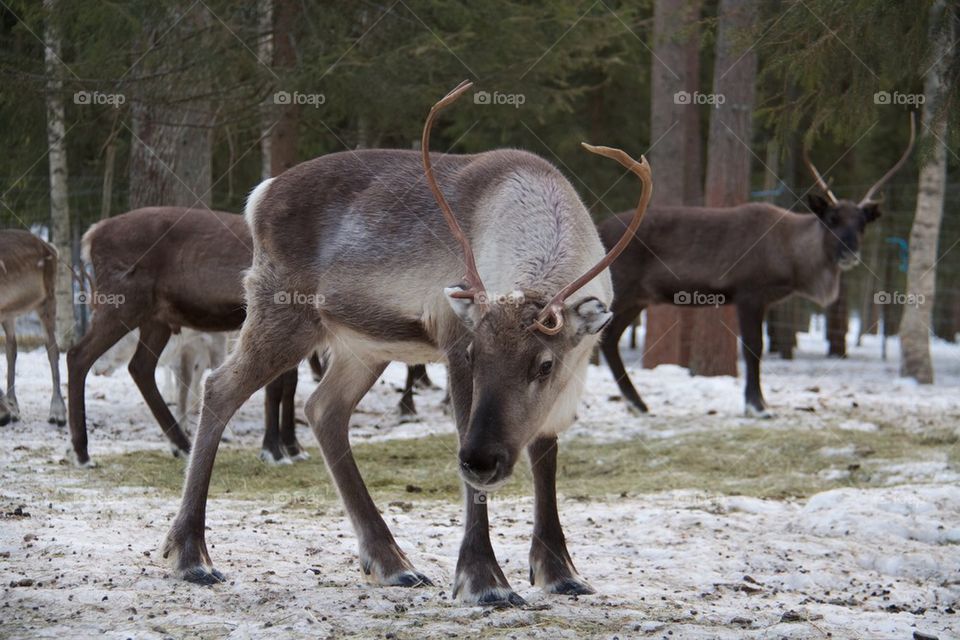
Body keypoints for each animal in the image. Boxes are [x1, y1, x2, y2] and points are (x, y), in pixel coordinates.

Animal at [0, 230, 66, 427]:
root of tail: (51, 246)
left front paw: (4, 412)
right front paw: (6, 411)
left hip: (47, 299)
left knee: (52, 348)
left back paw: (57, 413)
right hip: (9, 313)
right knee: (12, 347)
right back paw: (13, 407)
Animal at [67, 208, 306, 467]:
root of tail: (91, 235)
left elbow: (289, 384)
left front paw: (293, 448)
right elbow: (275, 386)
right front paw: (273, 451)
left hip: (157, 317)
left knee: (140, 367)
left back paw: (181, 444)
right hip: (123, 302)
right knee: (78, 355)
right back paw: (81, 452)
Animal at [161, 80, 652, 606]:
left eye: (544, 365)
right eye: (476, 354)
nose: (483, 460)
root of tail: (260, 195)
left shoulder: (573, 369)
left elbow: (546, 458)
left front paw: (558, 570)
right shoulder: (453, 343)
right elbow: (471, 448)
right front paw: (484, 581)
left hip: (362, 347)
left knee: (323, 409)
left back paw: (393, 563)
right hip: (282, 313)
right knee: (220, 388)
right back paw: (191, 556)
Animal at [599, 117, 915, 417]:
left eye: (862, 224)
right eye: (831, 219)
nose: (849, 253)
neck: (792, 257)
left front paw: (759, 402)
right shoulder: (749, 293)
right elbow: (754, 348)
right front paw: (757, 406)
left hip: (638, 299)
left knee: (610, 339)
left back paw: (637, 403)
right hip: (622, 292)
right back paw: (633, 402)